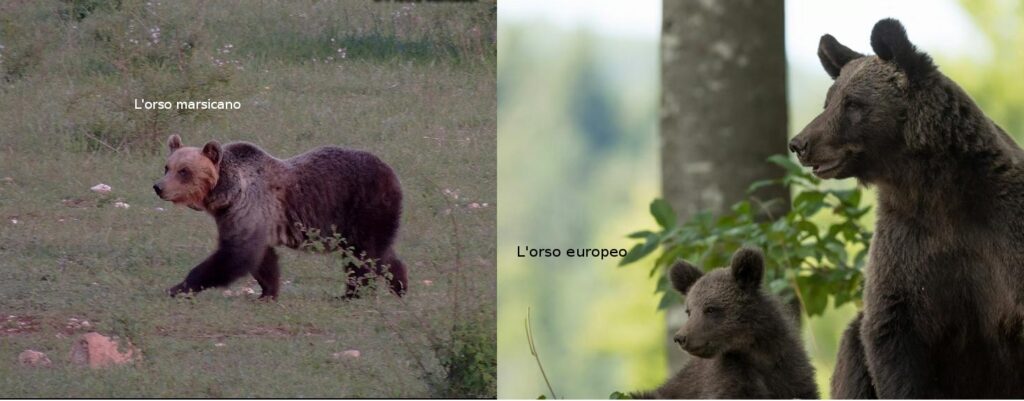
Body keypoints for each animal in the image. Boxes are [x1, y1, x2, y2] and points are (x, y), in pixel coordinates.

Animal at [153, 134, 407, 299]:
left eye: (184, 171)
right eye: (167, 167)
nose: (158, 187)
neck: (227, 192)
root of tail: (392, 173)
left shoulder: (249, 207)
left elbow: (235, 255)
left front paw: (177, 287)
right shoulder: (241, 217)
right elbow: (261, 258)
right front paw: (267, 292)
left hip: (365, 206)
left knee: (363, 255)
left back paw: (352, 294)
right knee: (381, 253)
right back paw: (400, 285)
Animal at [630, 247, 819, 399]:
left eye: (710, 309)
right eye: (689, 311)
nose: (681, 337)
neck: (757, 352)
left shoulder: (792, 373)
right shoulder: (727, 379)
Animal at [790, 18, 1024, 398]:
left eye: (852, 103)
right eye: (828, 101)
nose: (799, 143)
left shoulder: (1002, 236)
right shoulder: (906, 248)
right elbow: (891, 334)